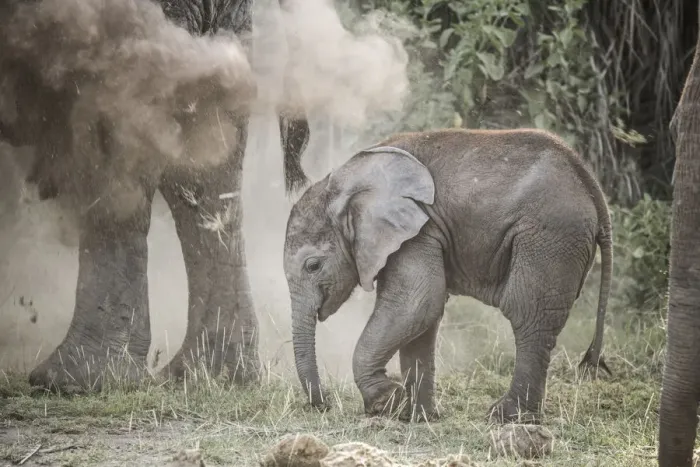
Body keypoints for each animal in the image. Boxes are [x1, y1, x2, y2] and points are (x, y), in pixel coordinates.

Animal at [283, 128, 613, 423]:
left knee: (528, 314)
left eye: (313, 266)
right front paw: (416, 417)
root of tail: (593, 190)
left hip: (549, 236)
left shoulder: (420, 231)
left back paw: (506, 416)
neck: (343, 180)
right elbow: (422, 317)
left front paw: (387, 402)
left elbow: (415, 304)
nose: (324, 404)